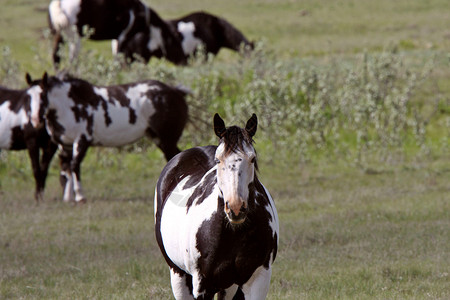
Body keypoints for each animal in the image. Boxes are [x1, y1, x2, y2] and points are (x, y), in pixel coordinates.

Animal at [0, 73, 58, 202]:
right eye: (28, 97)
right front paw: (37, 198)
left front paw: (40, 196)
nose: (36, 120)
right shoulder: (32, 143)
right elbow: (36, 170)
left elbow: (43, 170)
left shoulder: (50, 146)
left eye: (43, 95)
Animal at [29, 73, 188, 203]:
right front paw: (68, 198)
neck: (70, 104)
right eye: (28, 97)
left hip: (167, 140)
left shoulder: (82, 141)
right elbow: (66, 167)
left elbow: (74, 166)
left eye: (43, 95)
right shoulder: (65, 145)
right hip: (160, 140)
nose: (35, 120)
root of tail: (175, 91)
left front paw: (80, 196)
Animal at [49, 0, 188, 67]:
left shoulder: (116, 39)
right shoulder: (123, 37)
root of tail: (59, 4)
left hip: (58, 37)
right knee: (72, 60)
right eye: (176, 43)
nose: (185, 62)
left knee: (56, 58)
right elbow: (119, 60)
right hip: (75, 39)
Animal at [156, 113, 280, 298]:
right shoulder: (203, 284)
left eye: (252, 158)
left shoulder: (259, 278)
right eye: (218, 160)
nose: (236, 207)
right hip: (178, 275)